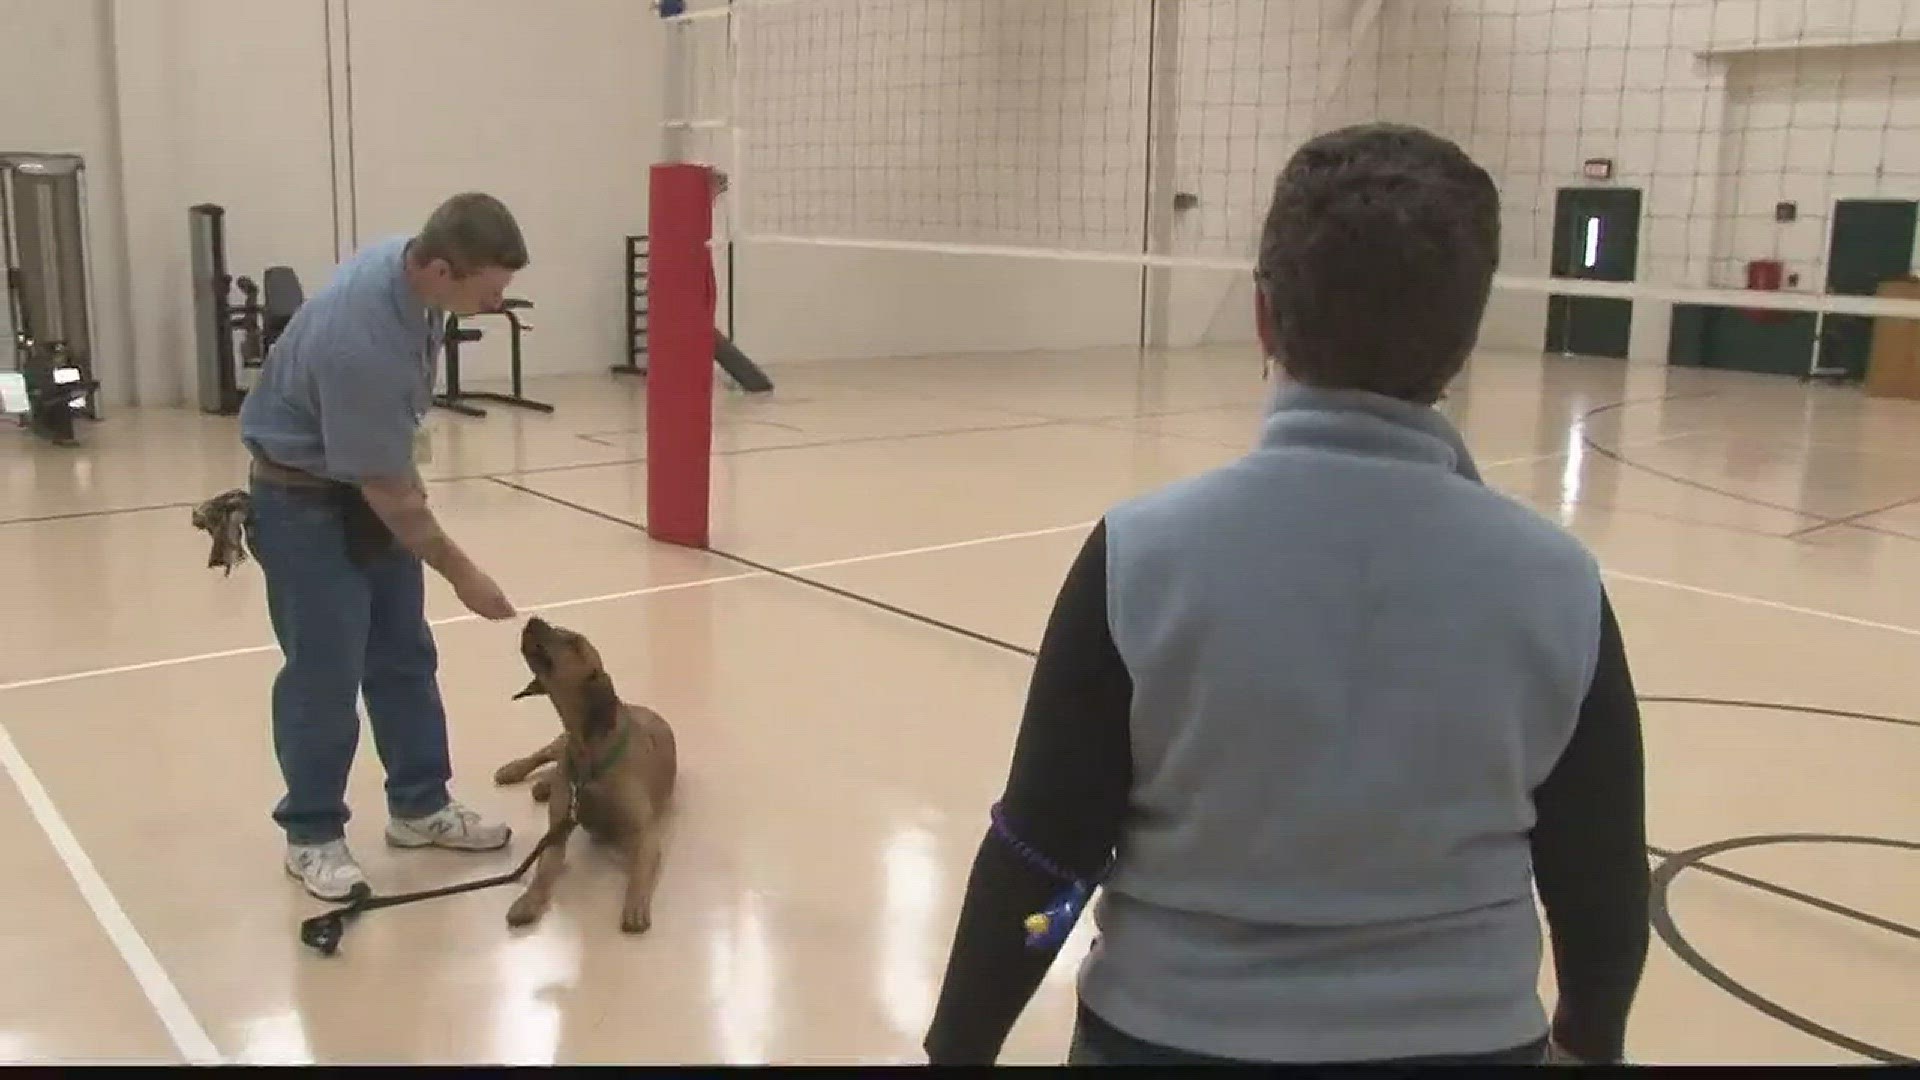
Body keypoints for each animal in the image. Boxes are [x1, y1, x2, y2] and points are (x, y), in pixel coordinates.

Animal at [495, 618, 675, 930]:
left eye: (574, 642)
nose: (533, 619)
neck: (588, 755)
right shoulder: (554, 834)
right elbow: (544, 870)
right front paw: (529, 900)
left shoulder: (645, 836)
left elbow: (639, 872)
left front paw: (635, 905)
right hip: (558, 743)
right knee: (543, 755)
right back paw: (515, 770)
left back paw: (543, 785)